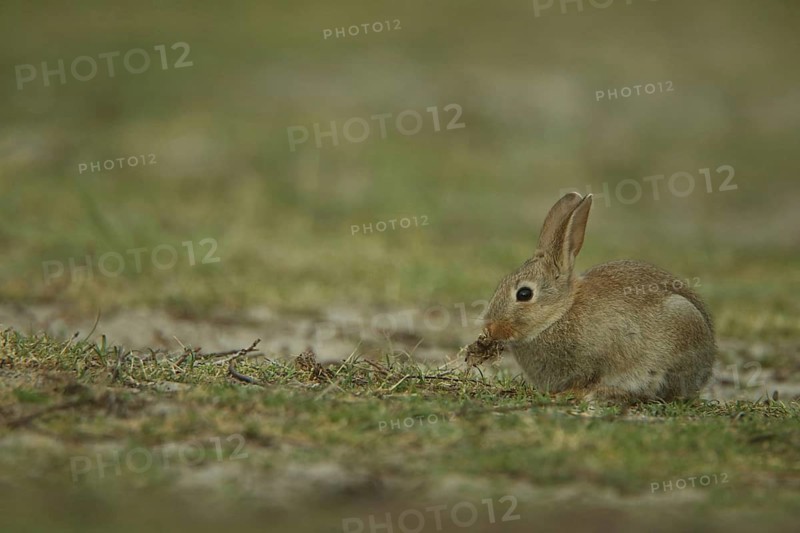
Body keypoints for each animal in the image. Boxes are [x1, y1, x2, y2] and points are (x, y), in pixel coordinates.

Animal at [483, 192, 715, 402]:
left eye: (524, 294)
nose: (490, 328)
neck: (559, 314)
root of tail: (706, 370)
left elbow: (588, 379)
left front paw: (568, 394)